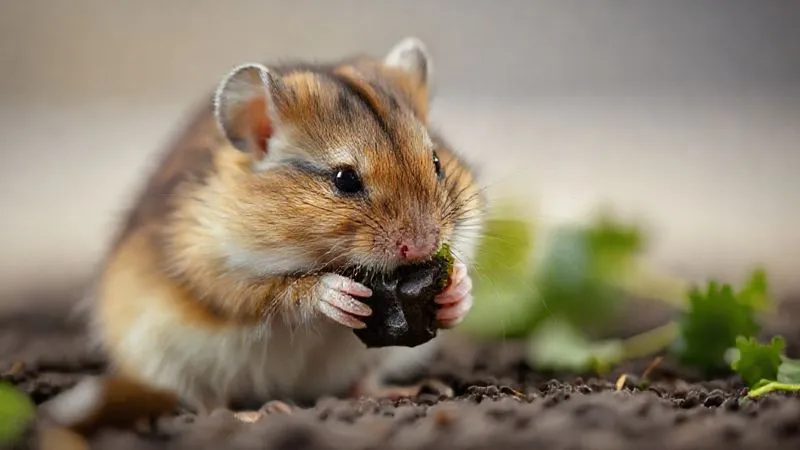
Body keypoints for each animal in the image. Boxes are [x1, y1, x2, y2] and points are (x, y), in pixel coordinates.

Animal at [86, 37, 486, 418]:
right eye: (345, 179)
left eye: (436, 162)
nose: (422, 246)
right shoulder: (212, 271)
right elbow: (281, 291)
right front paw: (340, 295)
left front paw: (457, 291)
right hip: (160, 358)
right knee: (207, 403)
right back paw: (262, 411)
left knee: (362, 381)